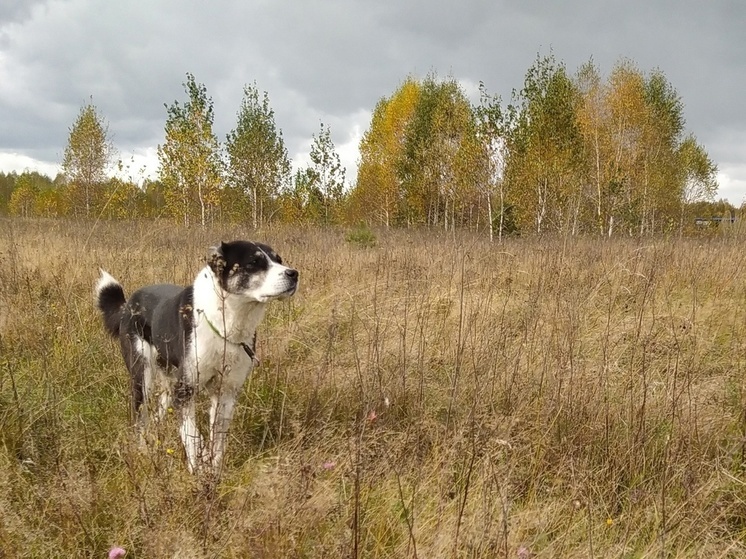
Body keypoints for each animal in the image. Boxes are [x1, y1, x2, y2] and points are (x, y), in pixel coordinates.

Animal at [96, 243, 296, 474]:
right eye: (254, 262)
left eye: (279, 260)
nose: (294, 274)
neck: (226, 322)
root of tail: (128, 304)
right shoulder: (185, 391)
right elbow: (192, 435)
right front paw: (196, 471)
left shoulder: (225, 392)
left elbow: (217, 440)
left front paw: (214, 472)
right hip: (142, 376)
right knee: (140, 417)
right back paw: (143, 451)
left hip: (169, 378)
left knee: (160, 407)